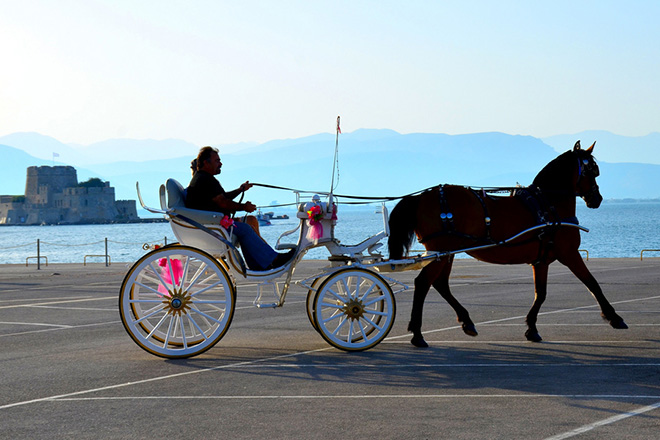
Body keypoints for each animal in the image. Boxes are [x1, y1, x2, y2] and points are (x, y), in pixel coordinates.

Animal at [390, 141, 628, 348]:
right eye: (593, 171)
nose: (596, 199)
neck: (549, 205)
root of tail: (422, 197)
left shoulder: (541, 261)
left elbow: (540, 293)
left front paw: (532, 328)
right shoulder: (569, 253)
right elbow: (592, 283)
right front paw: (614, 317)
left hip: (447, 252)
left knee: (440, 284)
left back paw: (466, 322)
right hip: (442, 250)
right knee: (423, 283)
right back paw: (418, 334)